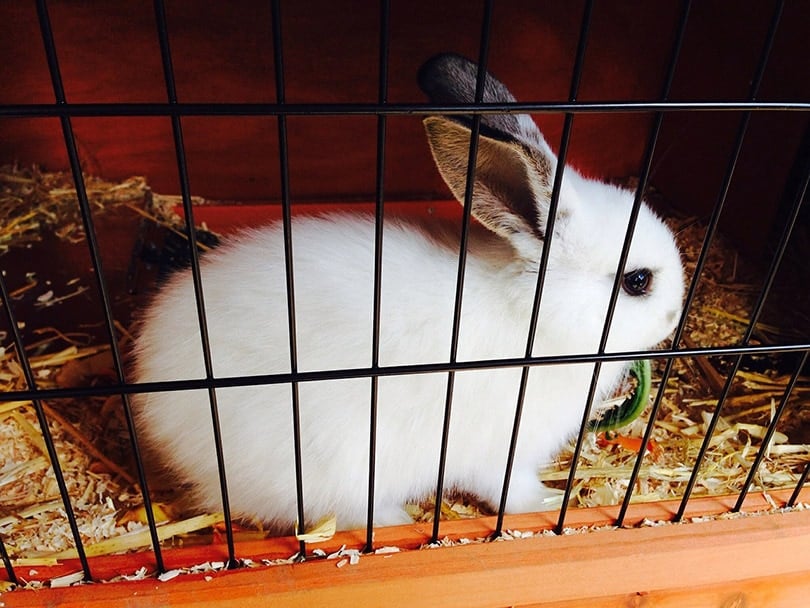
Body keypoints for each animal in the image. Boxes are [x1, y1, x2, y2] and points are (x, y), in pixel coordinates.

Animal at [131, 55, 680, 532]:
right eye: (637, 281)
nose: (676, 315)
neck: (535, 318)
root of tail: (155, 404)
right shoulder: (499, 448)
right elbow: (507, 488)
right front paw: (546, 502)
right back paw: (397, 521)